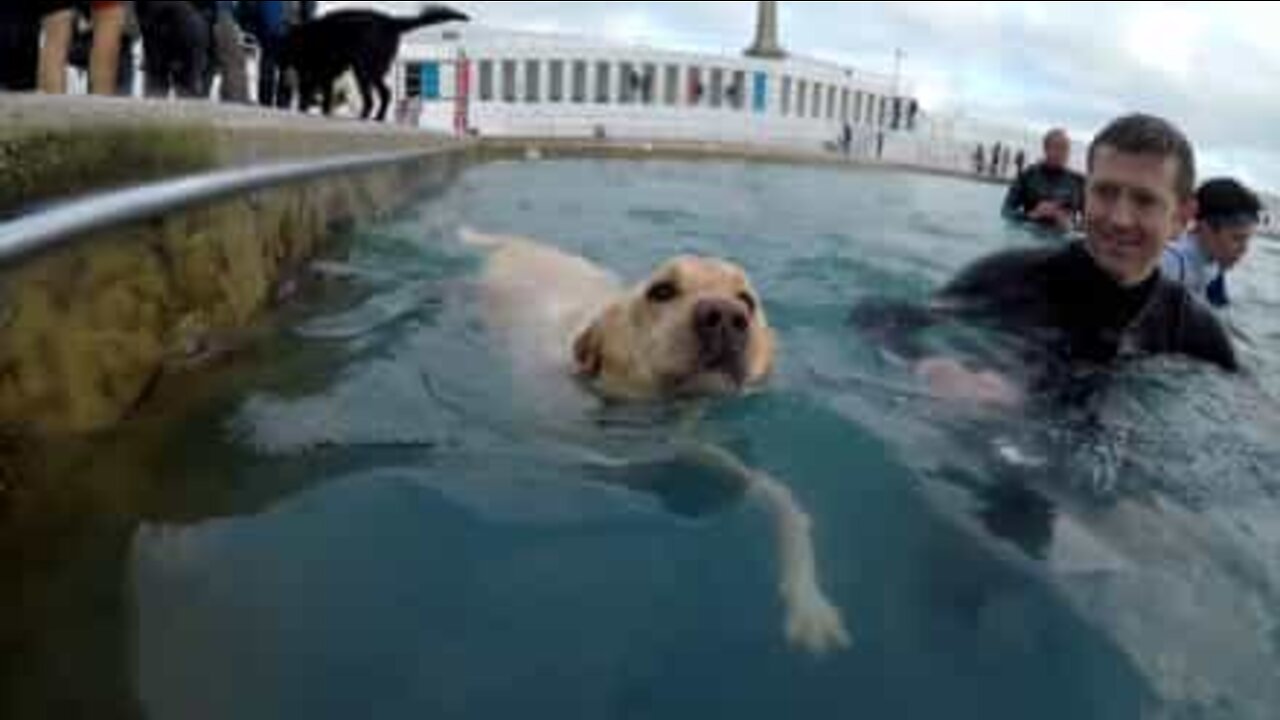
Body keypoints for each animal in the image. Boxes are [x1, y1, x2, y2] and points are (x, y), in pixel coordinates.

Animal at [280, 5, 471, 120]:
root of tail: (391, 21)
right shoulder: (321, 76)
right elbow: (318, 96)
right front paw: (312, 109)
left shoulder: (318, 73)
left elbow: (314, 95)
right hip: (371, 70)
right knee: (385, 94)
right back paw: (377, 118)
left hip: (363, 69)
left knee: (373, 98)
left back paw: (365, 117)